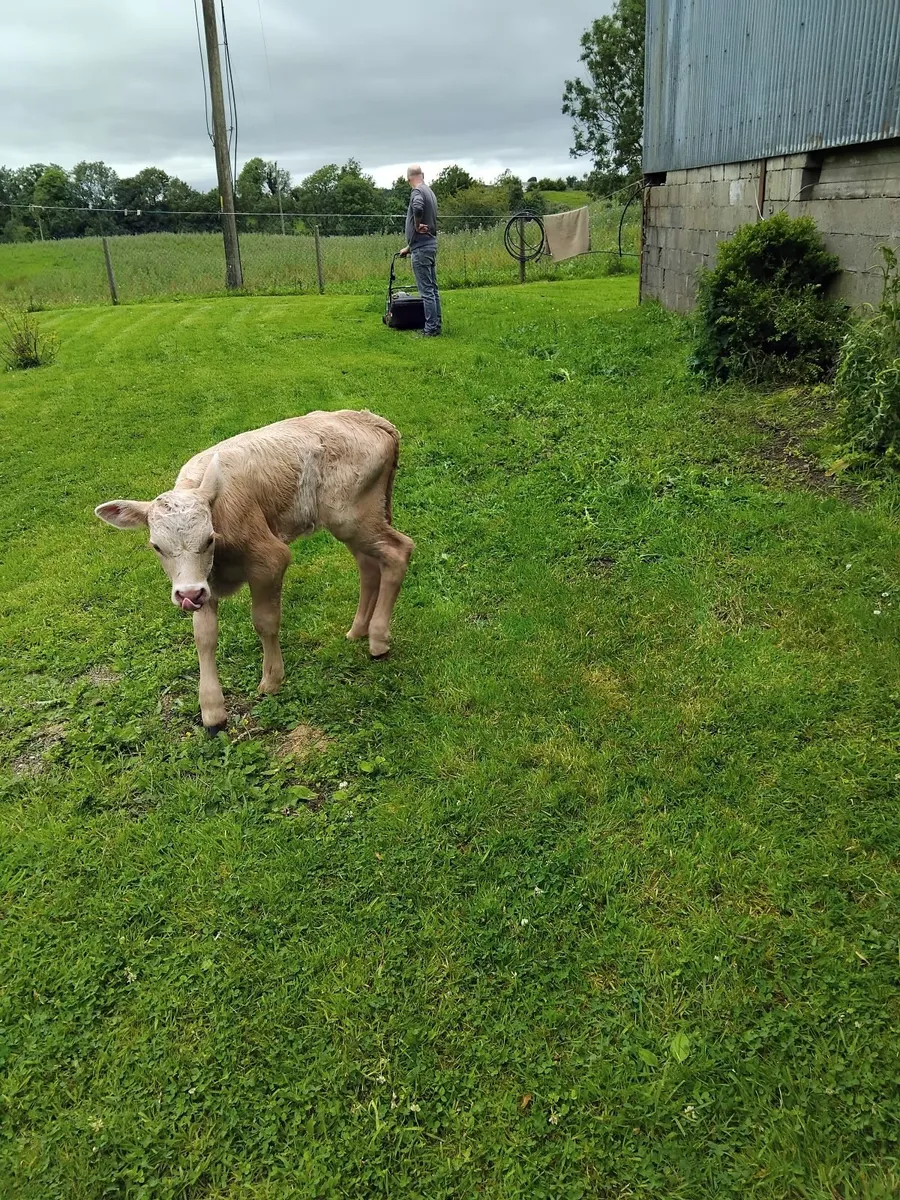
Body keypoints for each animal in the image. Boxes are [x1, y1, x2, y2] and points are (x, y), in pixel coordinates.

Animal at [95, 410, 414, 734]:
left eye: (209, 539)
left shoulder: (269, 560)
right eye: (156, 546)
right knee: (368, 565)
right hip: (355, 520)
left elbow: (264, 621)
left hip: (353, 516)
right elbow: (204, 636)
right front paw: (212, 711)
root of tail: (371, 419)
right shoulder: (203, 582)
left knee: (397, 551)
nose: (188, 595)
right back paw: (358, 630)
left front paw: (272, 680)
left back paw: (378, 640)